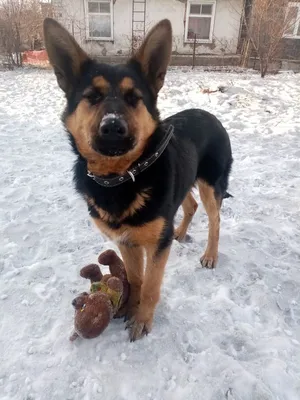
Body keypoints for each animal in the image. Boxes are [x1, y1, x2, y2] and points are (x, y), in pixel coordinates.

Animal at [43, 17, 233, 340]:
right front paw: (130, 305)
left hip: (211, 186)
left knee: (215, 220)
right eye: (92, 97)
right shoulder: (127, 241)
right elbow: (134, 277)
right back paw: (181, 232)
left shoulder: (157, 245)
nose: (112, 128)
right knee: (190, 205)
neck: (121, 177)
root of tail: (212, 116)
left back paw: (210, 254)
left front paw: (142, 319)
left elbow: (152, 284)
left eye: (134, 98)